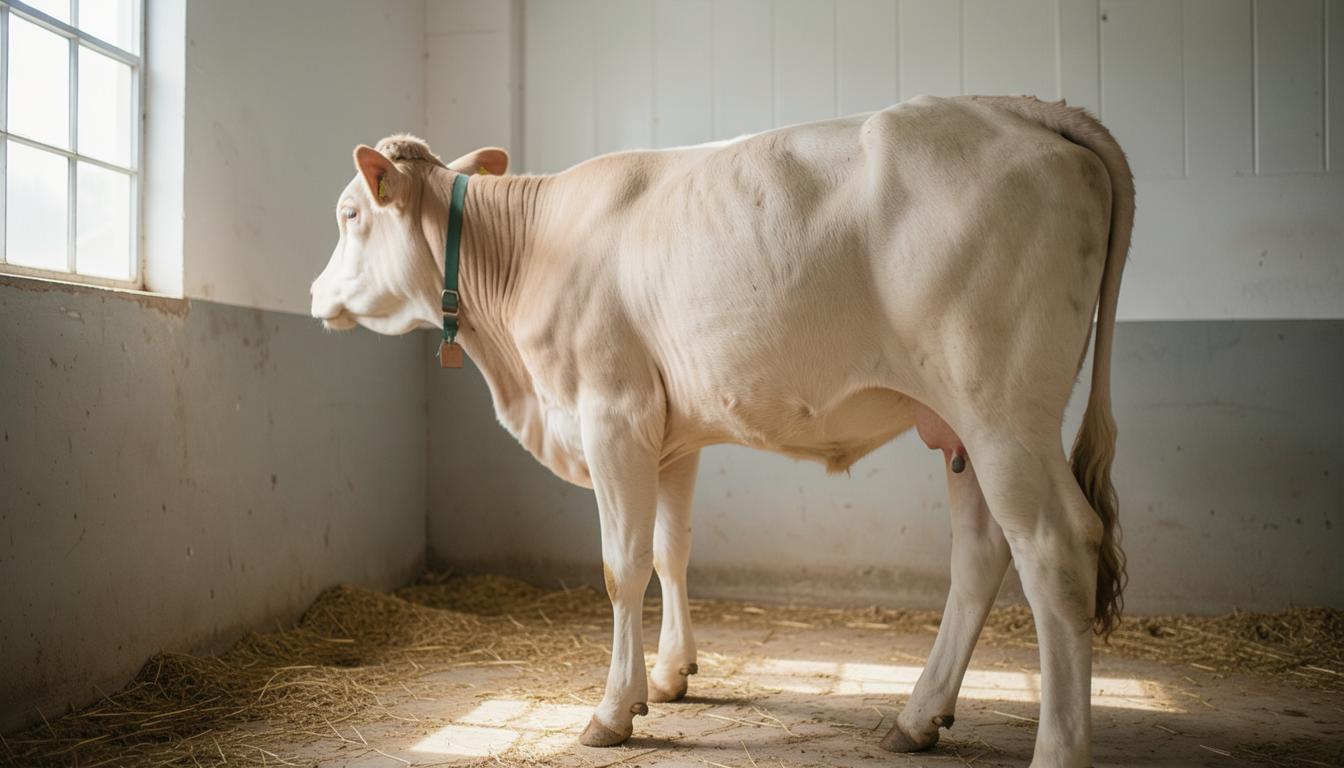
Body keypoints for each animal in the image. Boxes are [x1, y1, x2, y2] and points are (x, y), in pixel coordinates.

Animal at [311, 94, 1132, 768]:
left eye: (349, 214)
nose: (315, 292)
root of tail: (1020, 107)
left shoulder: (612, 413)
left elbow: (622, 567)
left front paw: (613, 710)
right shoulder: (668, 435)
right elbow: (671, 552)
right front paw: (670, 675)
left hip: (1003, 410)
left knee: (1056, 548)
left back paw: (1054, 749)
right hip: (963, 427)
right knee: (983, 552)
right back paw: (918, 717)